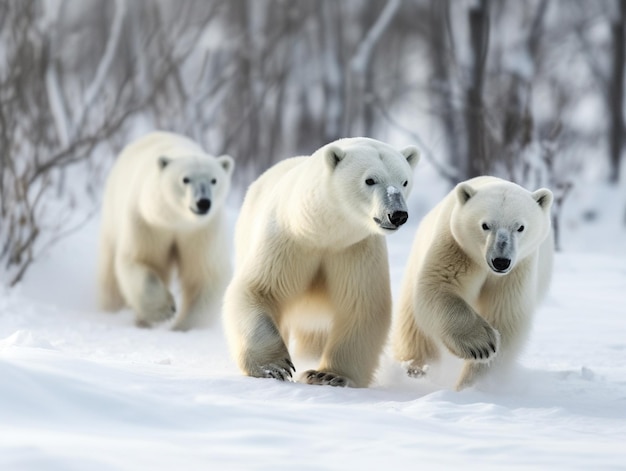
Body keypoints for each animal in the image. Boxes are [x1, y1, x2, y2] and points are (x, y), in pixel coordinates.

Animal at [97, 132, 234, 332]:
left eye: (214, 180)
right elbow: (141, 260)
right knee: (110, 275)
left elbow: (204, 274)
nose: (203, 202)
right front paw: (165, 310)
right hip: (112, 214)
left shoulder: (201, 232)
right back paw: (115, 310)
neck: (176, 221)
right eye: (185, 179)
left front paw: (184, 327)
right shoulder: (147, 223)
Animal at [222, 136, 416, 388]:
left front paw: (328, 375)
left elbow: (361, 306)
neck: (320, 231)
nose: (397, 214)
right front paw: (275, 366)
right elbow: (259, 290)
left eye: (404, 181)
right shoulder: (287, 241)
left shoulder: (355, 250)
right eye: (370, 180)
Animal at [392, 176, 552, 390]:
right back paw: (415, 369)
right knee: (413, 327)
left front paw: (472, 383)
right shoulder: (456, 247)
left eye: (520, 227)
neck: (483, 264)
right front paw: (481, 344)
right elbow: (438, 287)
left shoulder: (517, 270)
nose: (500, 261)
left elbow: (504, 316)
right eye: (485, 225)